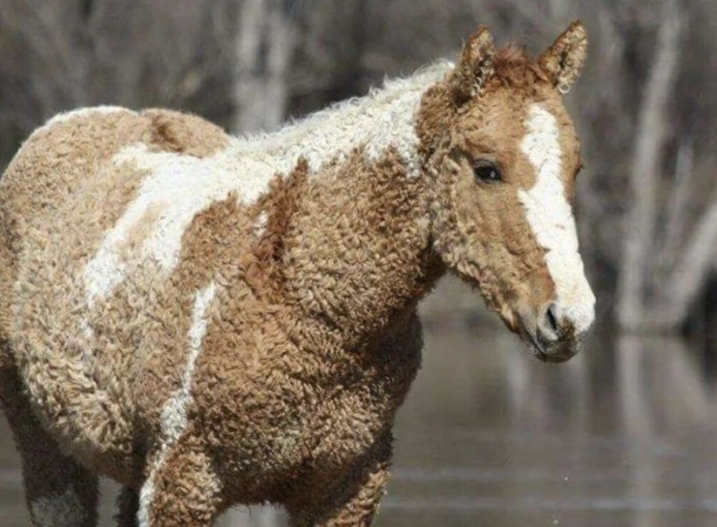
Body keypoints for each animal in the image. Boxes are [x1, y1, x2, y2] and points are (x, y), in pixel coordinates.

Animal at [0, 21, 595, 527]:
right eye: (487, 169)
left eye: (576, 168)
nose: (569, 317)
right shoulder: (181, 481)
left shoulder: (347, 488)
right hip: (47, 449)